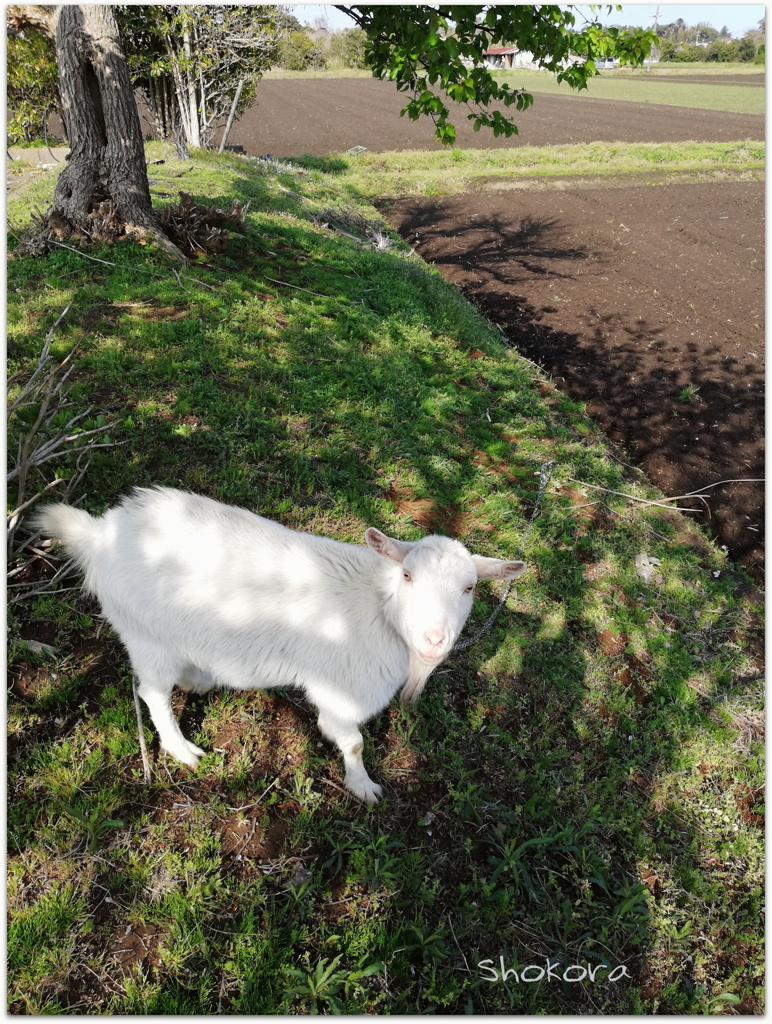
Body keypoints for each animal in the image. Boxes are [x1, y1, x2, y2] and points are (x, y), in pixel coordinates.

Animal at [31, 491, 524, 802]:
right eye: (407, 576)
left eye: (469, 588)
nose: (434, 640)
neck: (379, 608)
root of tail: (98, 534)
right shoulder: (339, 693)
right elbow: (354, 743)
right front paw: (363, 787)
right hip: (148, 636)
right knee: (152, 694)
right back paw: (182, 750)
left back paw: (199, 681)